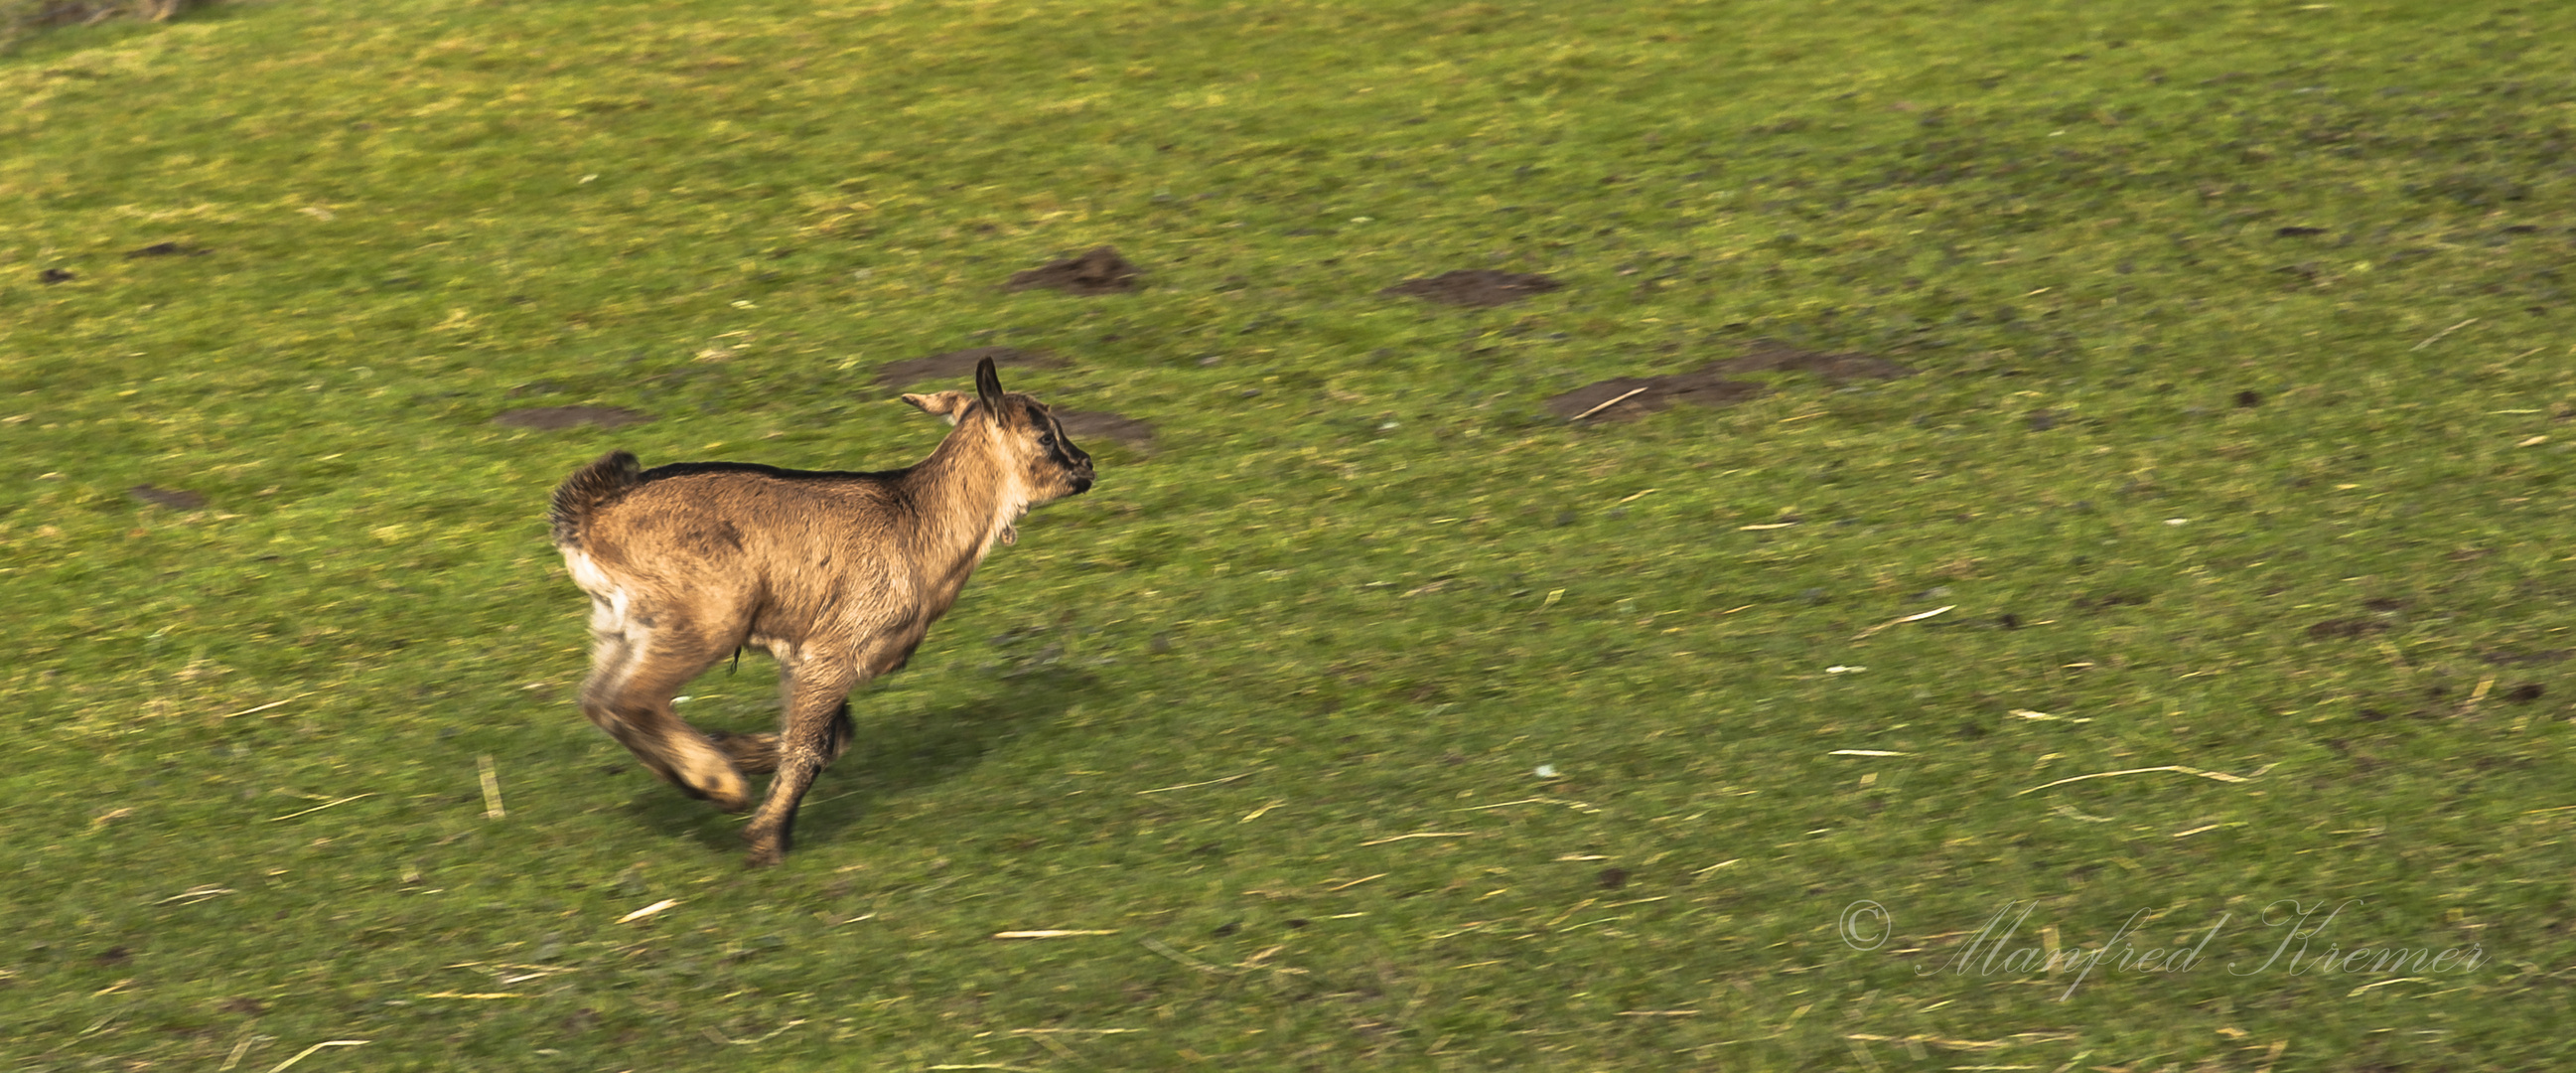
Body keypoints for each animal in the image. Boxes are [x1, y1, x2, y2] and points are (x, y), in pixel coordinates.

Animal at [548, 358, 1091, 861]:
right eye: (1045, 436)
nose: (1086, 466)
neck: (916, 524)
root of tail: (590, 516)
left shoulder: (805, 656)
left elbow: (830, 738)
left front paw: (738, 750)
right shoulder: (835, 649)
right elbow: (810, 749)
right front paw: (766, 842)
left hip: (621, 626)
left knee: (599, 700)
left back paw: (697, 771)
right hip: (705, 617)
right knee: (634, 699)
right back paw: (719, 783)